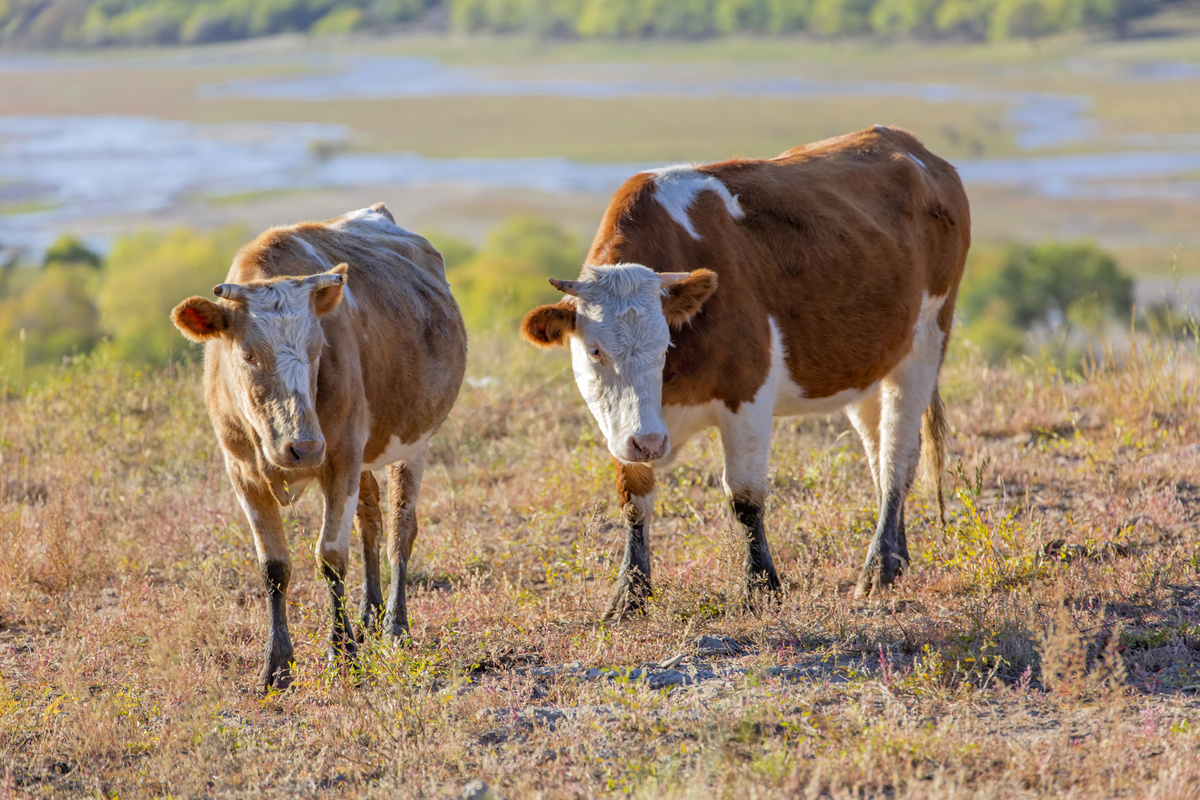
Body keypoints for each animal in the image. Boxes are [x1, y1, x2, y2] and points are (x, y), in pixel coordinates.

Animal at [171, 203, 465, 690]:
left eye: (317, 349)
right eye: (248, 354)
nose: (304, 448)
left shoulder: (341, 458)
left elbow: (330, 556)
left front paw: (341, 652)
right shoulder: (242, 473)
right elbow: (274, 567)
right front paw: (276, 664)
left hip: (414, 441)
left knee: (400, 528)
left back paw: (394, 626)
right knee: (370, 519)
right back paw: (369, 615)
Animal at [520, 125, 969, 618]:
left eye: (665, 346)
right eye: (595, 351)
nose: (651, 443)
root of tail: (911, 147)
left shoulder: (747, 397)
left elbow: (745, 497)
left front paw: (761, 586)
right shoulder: (624, 428)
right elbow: (634, 500)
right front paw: (629, 595)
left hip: (926, 342)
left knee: (897, 457)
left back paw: (879, 567)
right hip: (869, 365)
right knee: (878, 450)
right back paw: (897, 556)